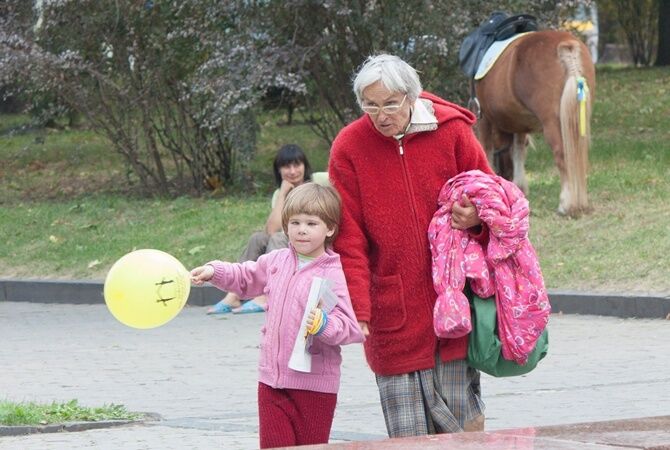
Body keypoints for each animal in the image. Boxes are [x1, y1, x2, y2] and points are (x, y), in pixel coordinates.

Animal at [476, 29, 596, 216]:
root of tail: (567, 46)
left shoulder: (485, 119)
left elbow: (486, 150)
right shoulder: (519, 123)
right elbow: (519, 150)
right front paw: (520, 187)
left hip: (552, 124)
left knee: (562, 156)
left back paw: (566, 205)